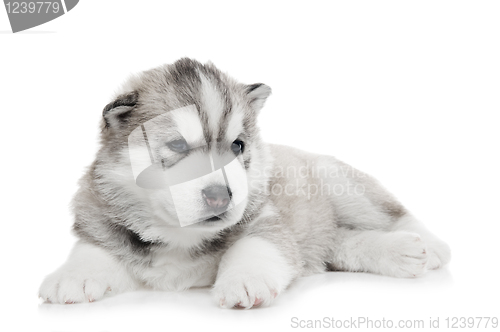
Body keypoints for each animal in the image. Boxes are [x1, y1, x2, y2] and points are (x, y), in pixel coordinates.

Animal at [41, 57, 452, 308]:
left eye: (238, 146)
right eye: (177, 146)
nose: (219, 196)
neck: (180, 236)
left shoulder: (265, 220)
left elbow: (255, 247)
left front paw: (244, 280)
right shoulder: (103, 224)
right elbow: (93, 249)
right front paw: (70, 276)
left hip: (339, 182)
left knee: (392, 213)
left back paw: (427, 246)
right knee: (341, 243)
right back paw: (400, 253)